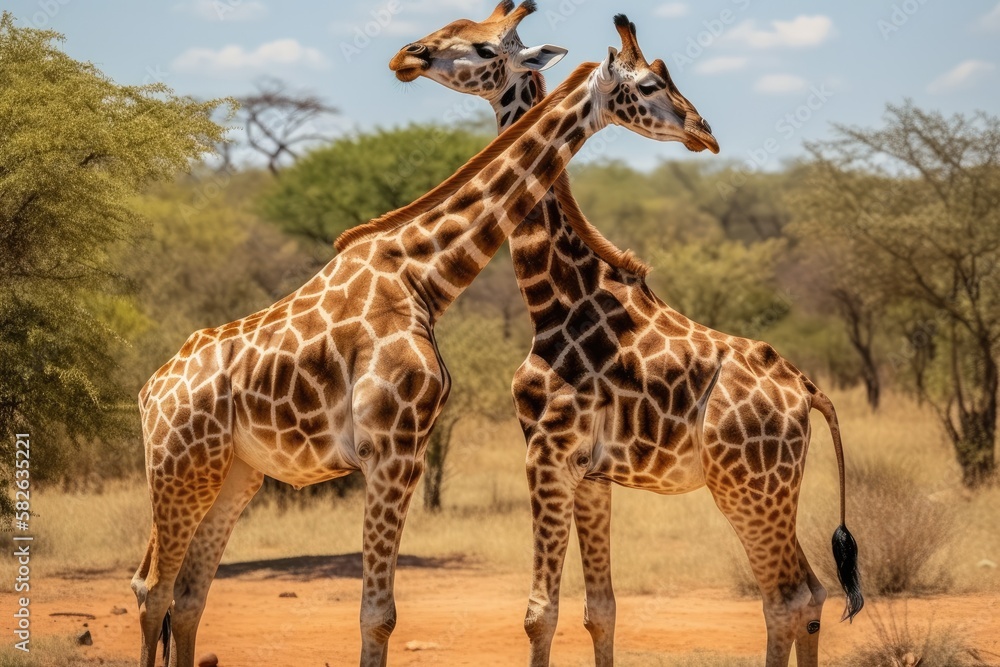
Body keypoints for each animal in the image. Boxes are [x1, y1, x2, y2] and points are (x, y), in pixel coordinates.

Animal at [131, 11, 720, 666]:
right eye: (648, 84)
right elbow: (377, 615)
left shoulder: (404, 450)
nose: (704, 131)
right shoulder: (391, 449)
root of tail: (151, 391)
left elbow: (380, 613)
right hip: (180, 464)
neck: (425, 275)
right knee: (153, 590)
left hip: (234, 471)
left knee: (188, 594)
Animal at [390, 7, 863, 667]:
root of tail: (809, 392)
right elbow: (601, 610)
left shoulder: (546, 454)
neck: (555, 299)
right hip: (774, 489)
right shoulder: (592, 474)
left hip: (747, 486)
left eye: (482, 46)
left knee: (785, 599)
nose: (407, 56)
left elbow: (539, 613)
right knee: (814, 593)